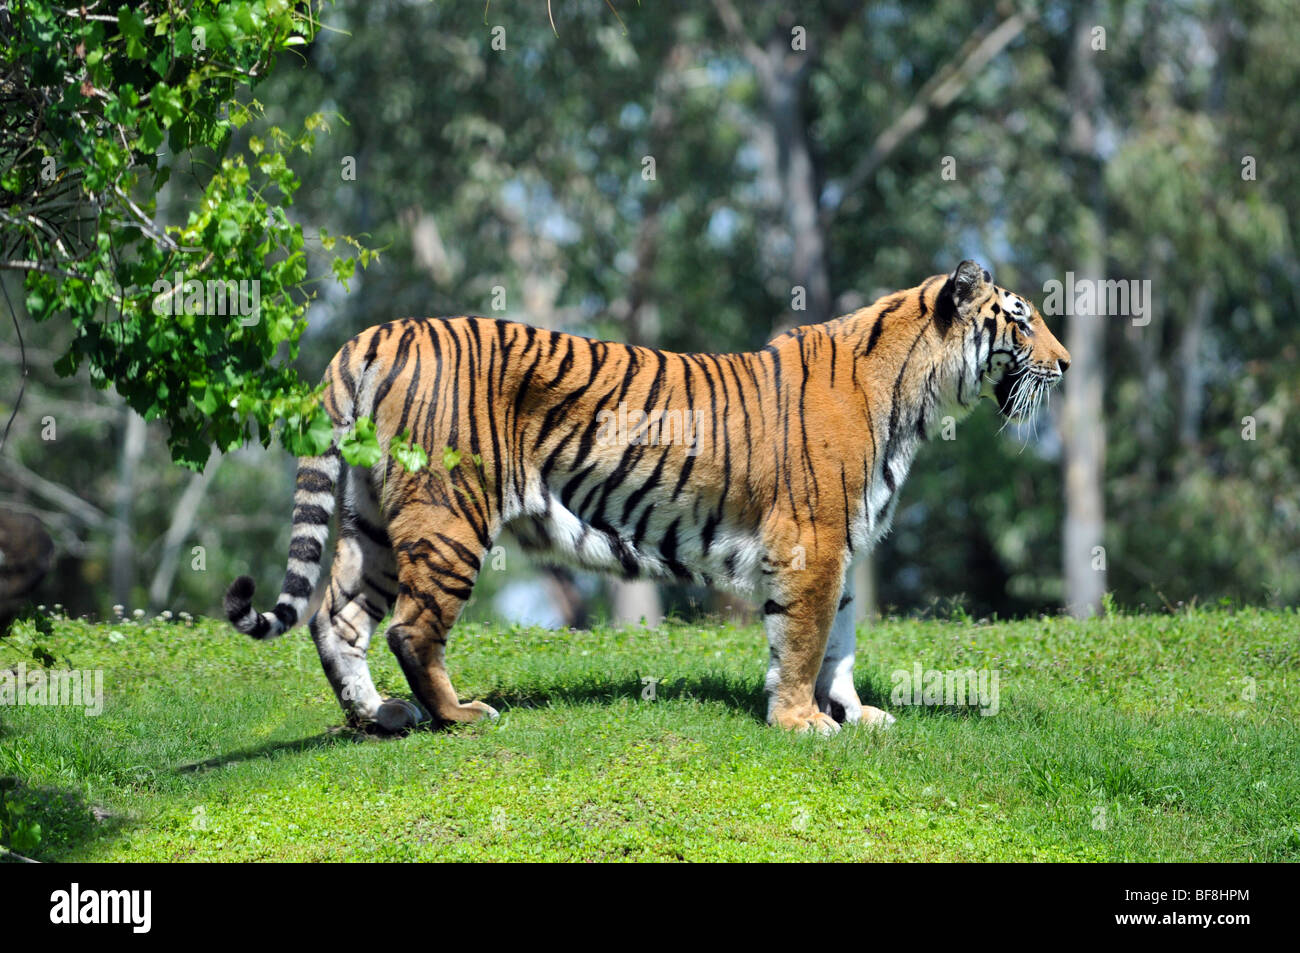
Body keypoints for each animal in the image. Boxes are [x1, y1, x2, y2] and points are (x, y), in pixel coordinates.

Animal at [226, 260, 1066, 738]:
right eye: (1022, 322)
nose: (1063, 364)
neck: (916, 398)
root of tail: (372, 334)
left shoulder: (845, 547)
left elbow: (842, 643)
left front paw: (857, 714)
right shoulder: (814, 542)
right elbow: (802, 642)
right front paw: (800, 722)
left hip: (374, 519)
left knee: (335, 618)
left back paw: (377, 717)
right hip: (448, 516)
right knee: (409, 628)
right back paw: (457, 715)